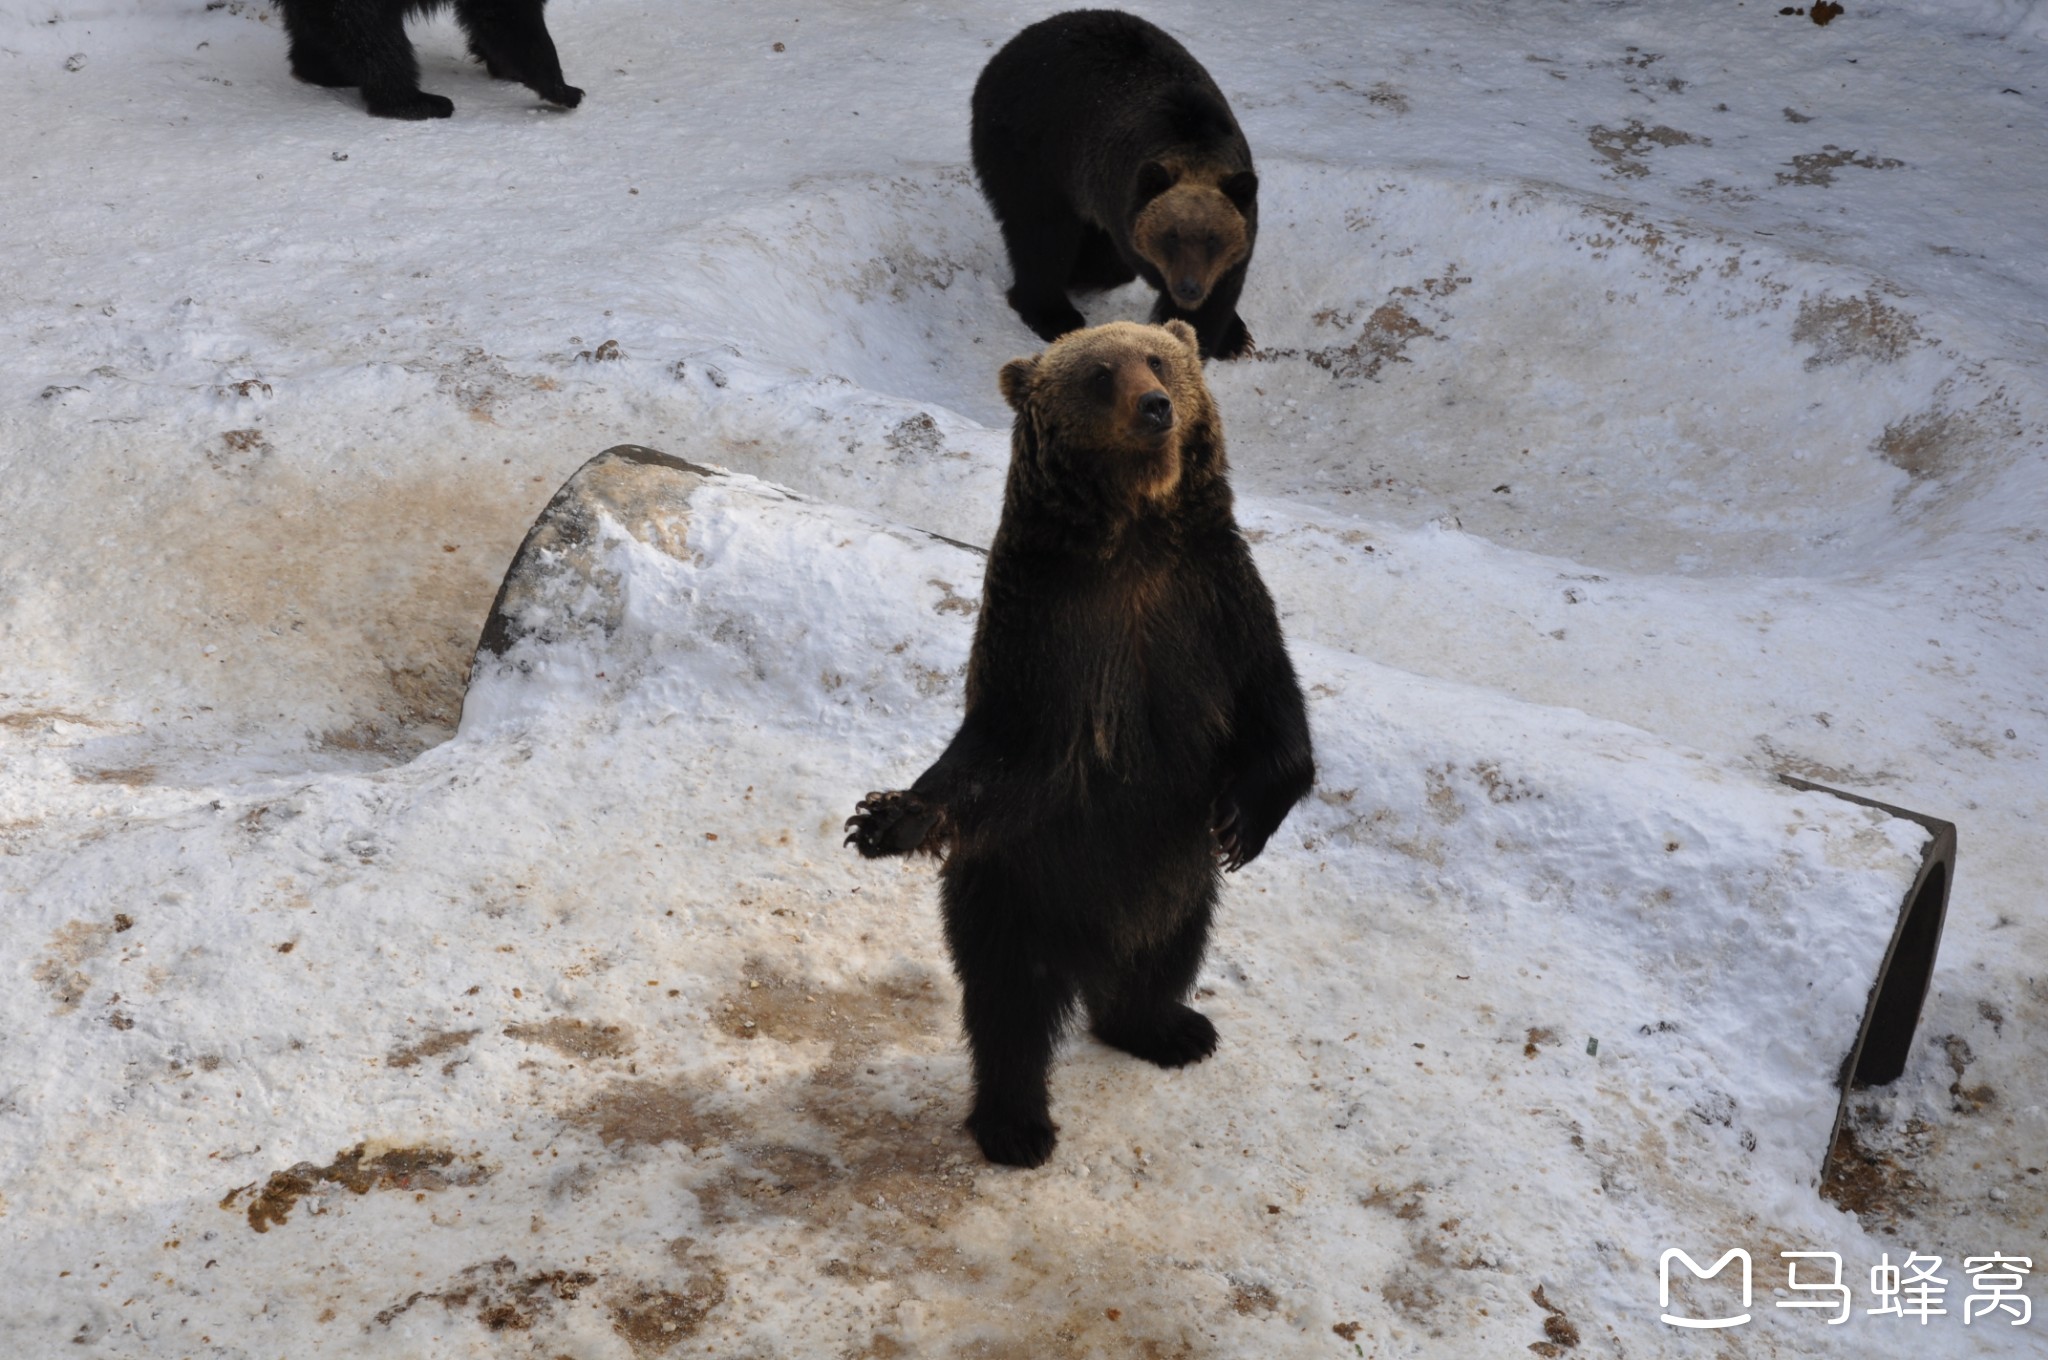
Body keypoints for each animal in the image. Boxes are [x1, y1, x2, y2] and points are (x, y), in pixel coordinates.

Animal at [843, 321, 1310, 1171]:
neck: (1132, 537)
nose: (1156, 406)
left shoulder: (1216, 603)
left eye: (1158, 359)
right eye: (1099, 373)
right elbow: (1000, 753)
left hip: (1174, 881)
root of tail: (1089, 950)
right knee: (1010, 1009)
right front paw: (887, 816)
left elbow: (1275, 708)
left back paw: (1172, 1028)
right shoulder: (1047, 635)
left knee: (1166, 954)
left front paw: (1243, 824)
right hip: (1018, 890)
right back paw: (1016, 1124)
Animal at [966, 10, 1253, 360]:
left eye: (1214, 238)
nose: (1189, 287)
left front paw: (1231, 336)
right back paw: (1054, 312)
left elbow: (1220, 293)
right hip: (1033, 149)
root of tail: (1005, 51)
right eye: (1170, 235)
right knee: (1043, 234)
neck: (1194, 142)